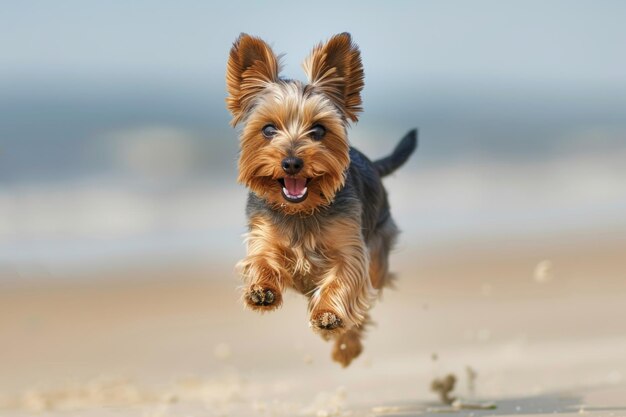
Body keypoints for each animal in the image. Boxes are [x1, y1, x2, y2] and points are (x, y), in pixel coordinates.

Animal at [224, 31, 414, 364]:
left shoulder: (351, 248)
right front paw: (261, 289)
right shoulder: (264, 233)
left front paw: (328, 315)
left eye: (319, 130)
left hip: (379, 253)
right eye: (268, 129)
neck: (301, 210)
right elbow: (261, 258)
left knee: (363, 309)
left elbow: (344, 278)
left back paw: (345, 346)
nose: (291, 162)